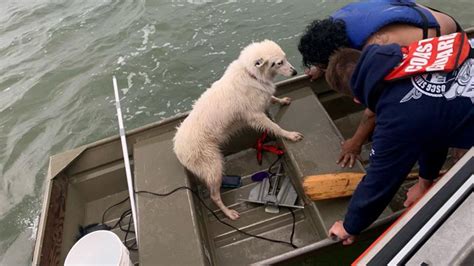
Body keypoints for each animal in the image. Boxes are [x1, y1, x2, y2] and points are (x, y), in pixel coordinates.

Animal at [174, 40, 304, 220]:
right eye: (279, 63)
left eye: (285, 58)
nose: (295, 72)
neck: (251, 74)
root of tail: (176, 147)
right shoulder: (256, 116)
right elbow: (275, 127)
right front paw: (289, 135)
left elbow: (271, 97)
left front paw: (282, 100)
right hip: (214, 165)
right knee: (214, 196)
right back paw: (229, 213)